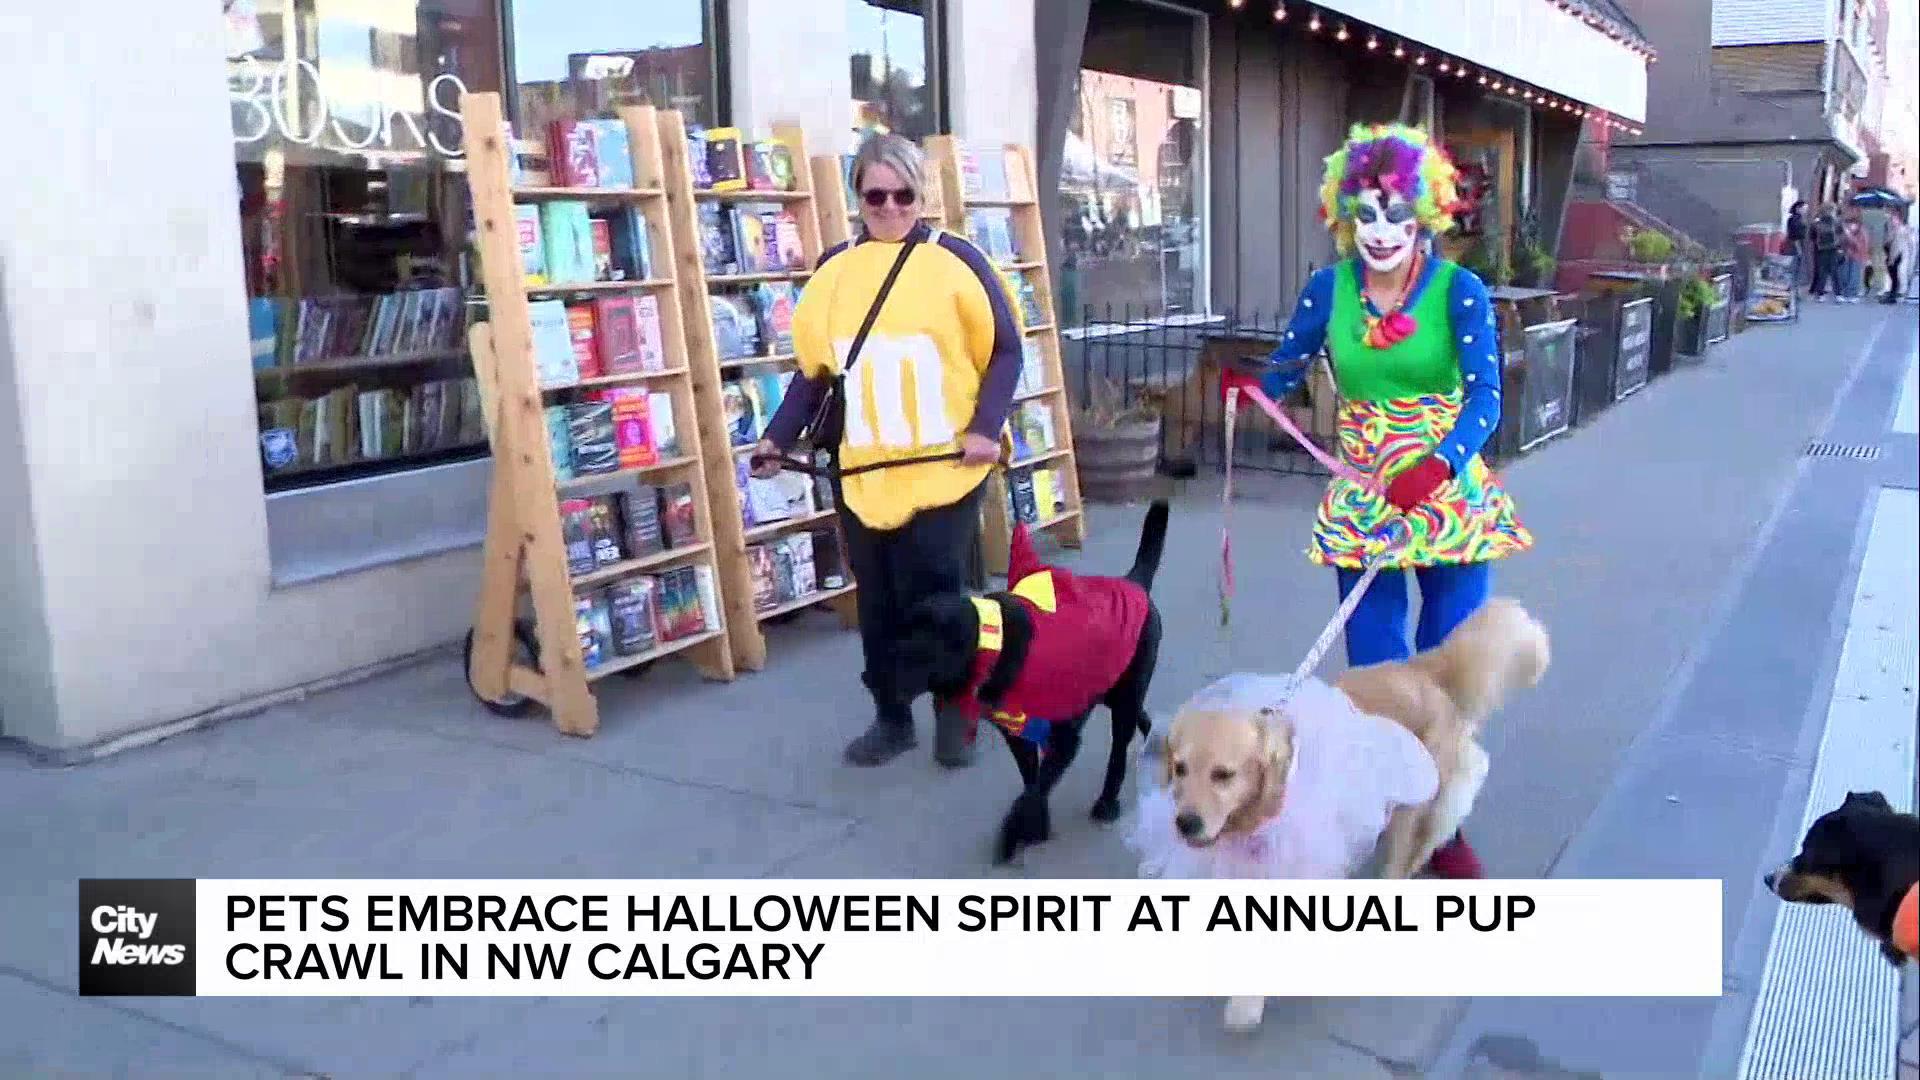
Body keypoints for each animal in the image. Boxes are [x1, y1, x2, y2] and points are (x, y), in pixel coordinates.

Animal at [894, 495, 1167, 857]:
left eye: (917, 649)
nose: (877, 677)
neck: (996, 645)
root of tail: (1133, 582)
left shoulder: (1063, 738)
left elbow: (1033, 790)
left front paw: (1014, 834)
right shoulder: (1018, 735)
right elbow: (1031, 782)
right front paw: (1037, 827)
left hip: (1125, 693)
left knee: (1119, 750)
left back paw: (1108, 803)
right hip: (1114, 690)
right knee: (1140, 715)